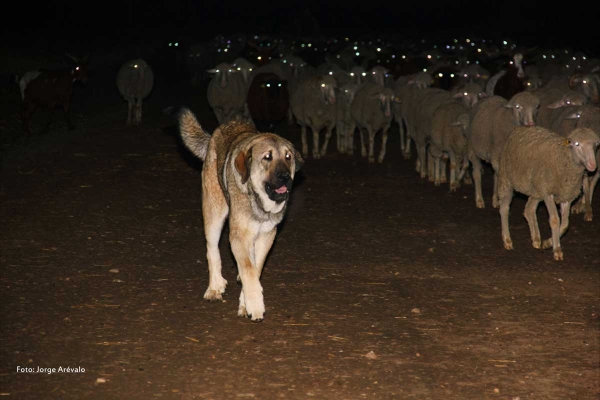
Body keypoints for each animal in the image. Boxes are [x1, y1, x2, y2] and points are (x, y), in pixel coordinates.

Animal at [176, 106, 302, 322]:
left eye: (288, 157)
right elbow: (249, 269)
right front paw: (255, 305)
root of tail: (217, 133)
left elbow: (255, 268)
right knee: (212, 250)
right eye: (267, 157)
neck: (260, 205)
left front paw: (245, 302)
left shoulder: (267, 235)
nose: (285, 177)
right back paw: (214, 287)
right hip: (214, 214)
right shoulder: (238, 235)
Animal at [496, 126, 600, 260]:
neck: (564, 157)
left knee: (529, 210)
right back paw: (507, 240)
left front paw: (547, 243)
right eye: (577, 144)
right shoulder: (548, 193)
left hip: (536, 189)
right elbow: (555, 220)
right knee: (504, 208)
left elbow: (565, 224)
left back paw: (536, 240)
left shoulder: (566, 194)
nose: (593, 165)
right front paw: (557, 250)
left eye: (595, 145)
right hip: (507, 179)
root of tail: (521, 127)